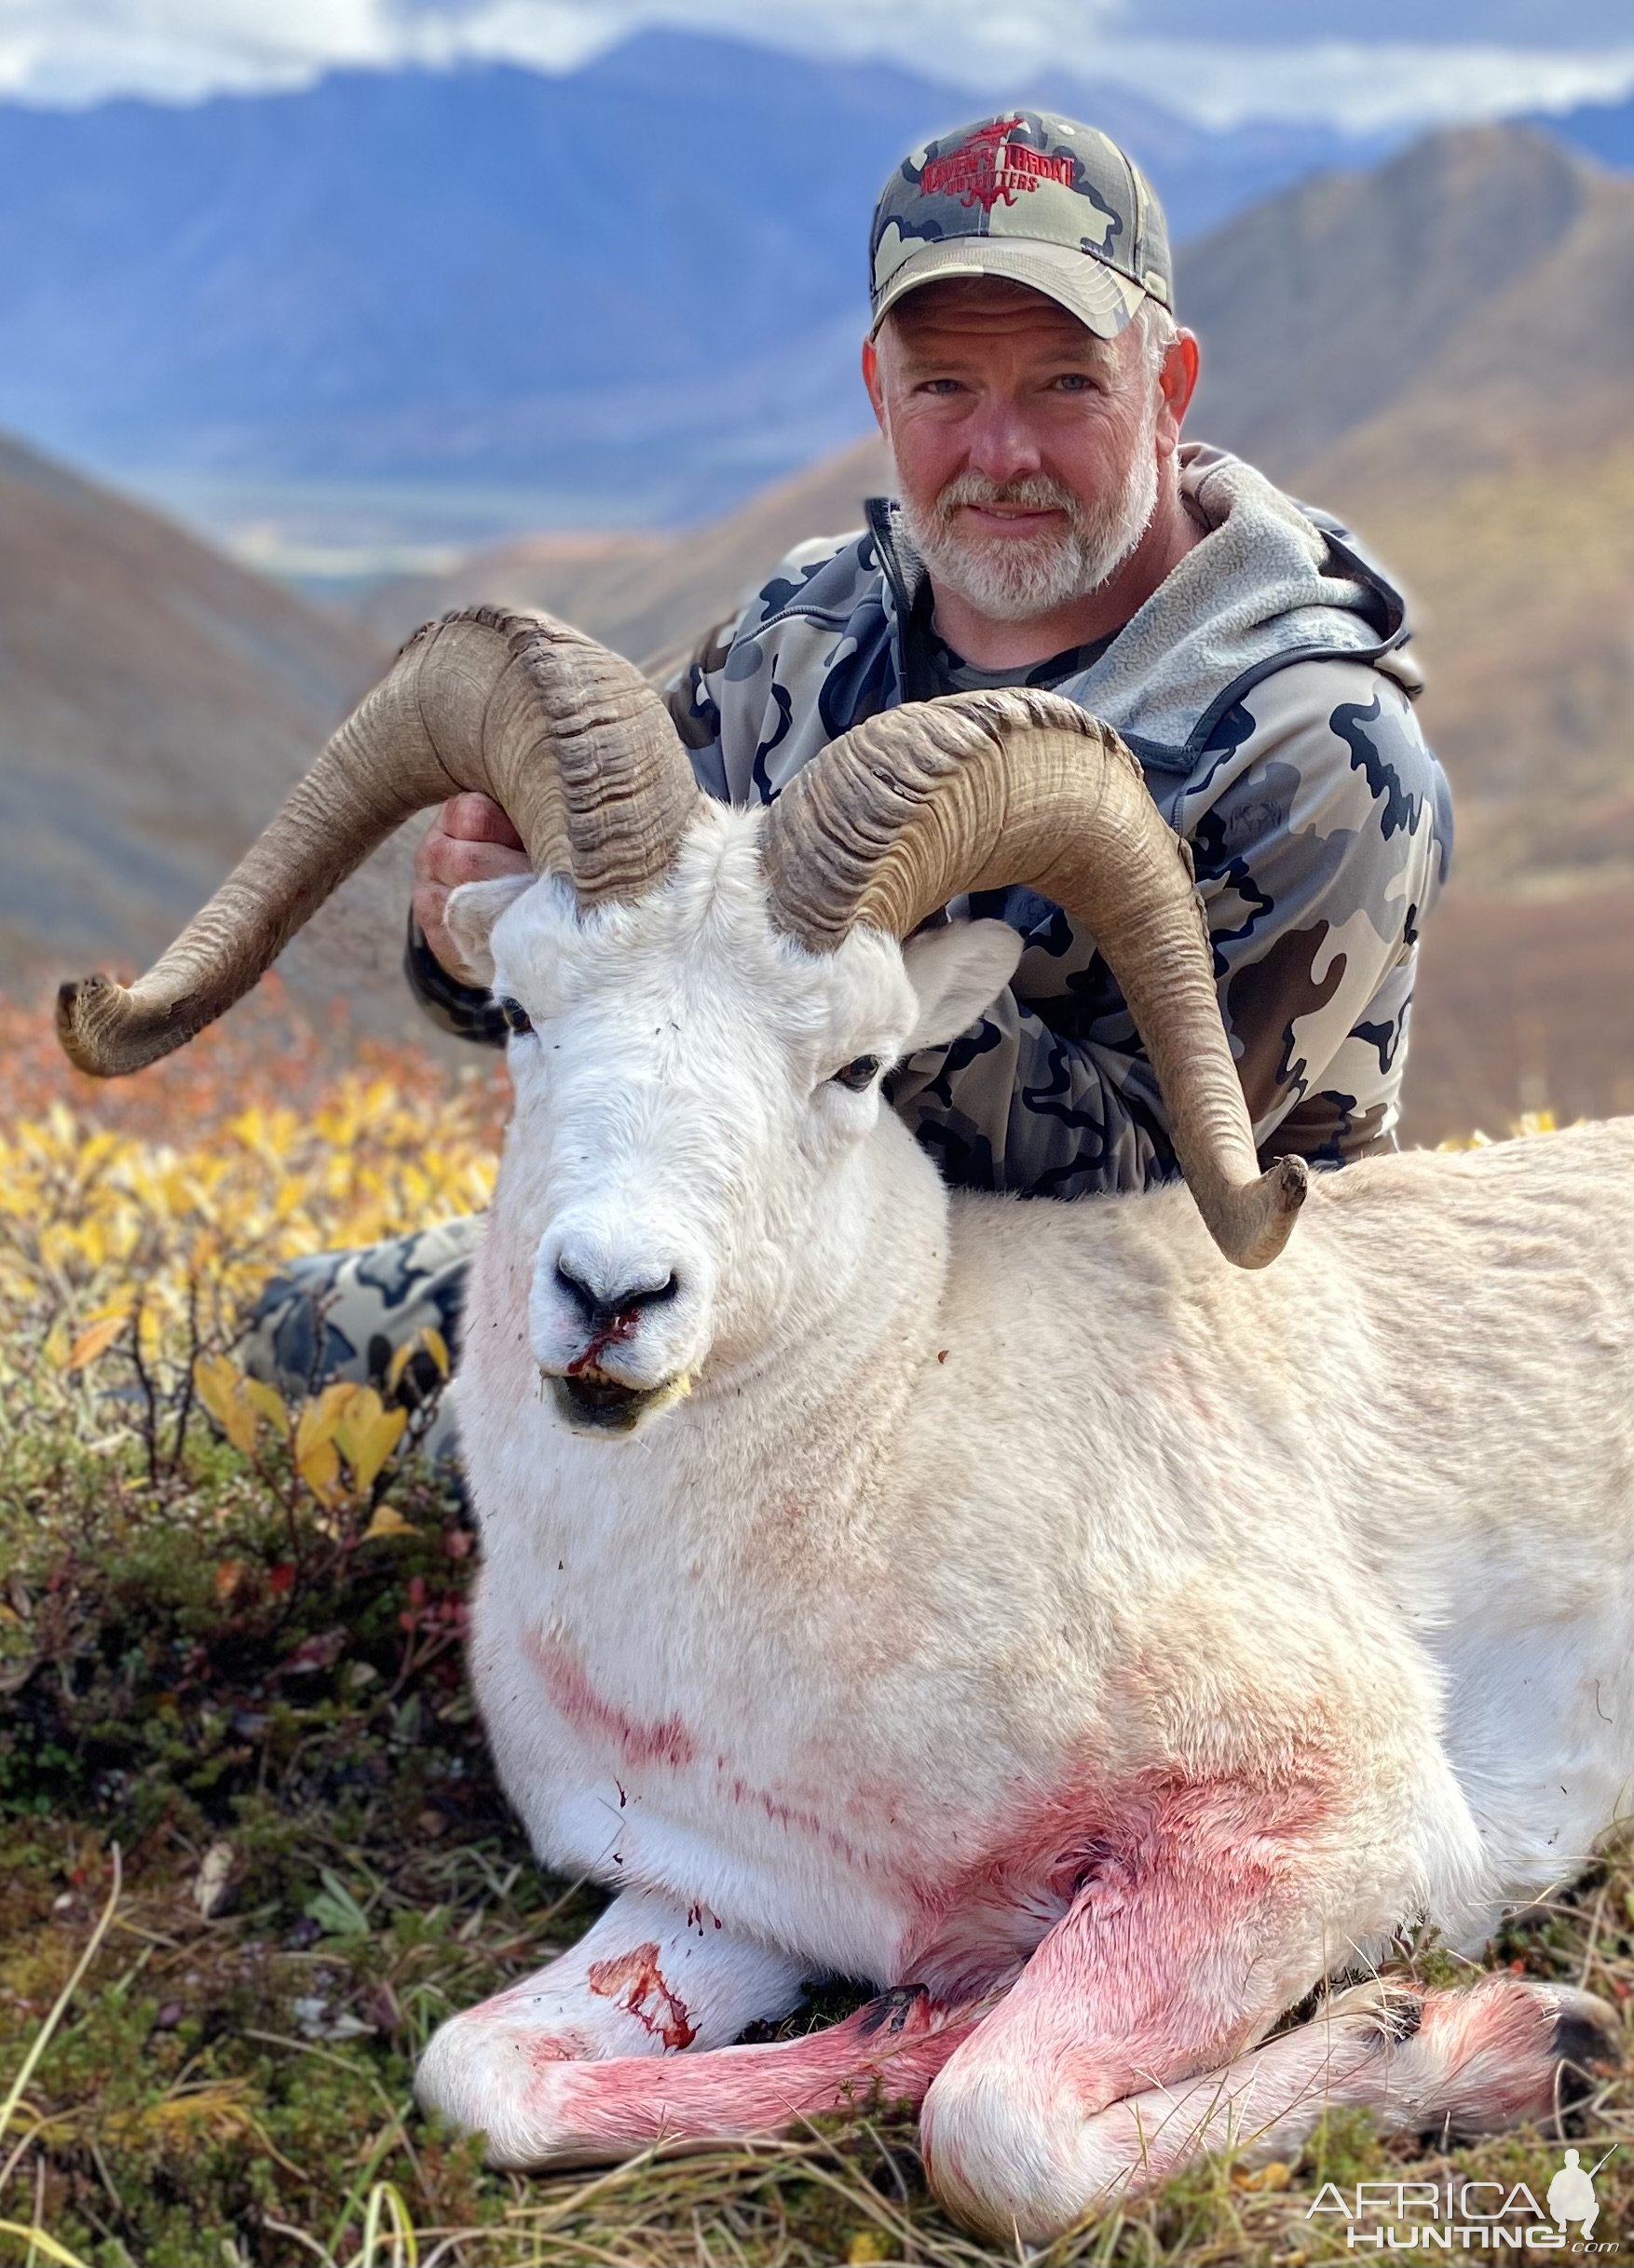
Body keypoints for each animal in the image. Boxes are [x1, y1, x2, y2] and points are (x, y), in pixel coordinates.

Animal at [57, 612, 1625, 2240]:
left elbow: (989, 2125)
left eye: (859, 1065)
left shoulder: (1315, 1821)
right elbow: (483, 2069)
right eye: (520, 1011)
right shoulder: (719, 1897)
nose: (611, 1295)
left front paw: (1506, 2041)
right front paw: (912, 2010)